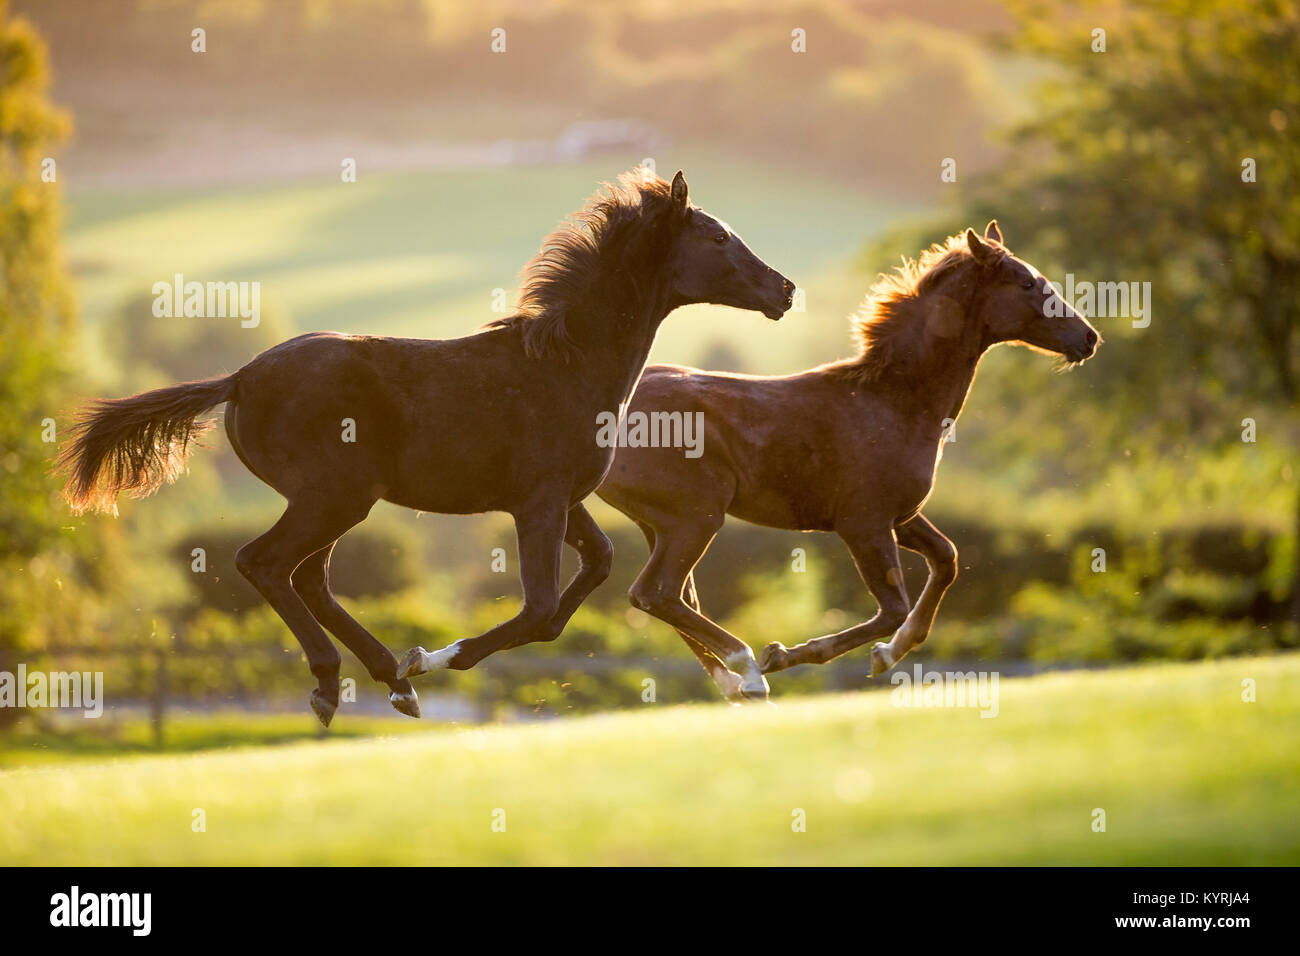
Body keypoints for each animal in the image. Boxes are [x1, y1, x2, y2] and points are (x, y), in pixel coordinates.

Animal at [58, 171, 790, 723]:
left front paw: (425, 661)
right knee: (263, 563)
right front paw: (439, 657)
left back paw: (392, 680)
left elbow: (594, 571)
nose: (784, 290)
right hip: (334, 496)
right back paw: (337, 683)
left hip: (333, 501)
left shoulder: (562, 500)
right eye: (717, 236)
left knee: (307, 577)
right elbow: (542, 608)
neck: (567, 364)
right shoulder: (539, 502)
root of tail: (239, 379)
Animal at [595, 223, 1097, 702]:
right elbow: (892, 607)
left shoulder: (900, 516)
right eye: (1027, 282)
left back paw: (735, 684)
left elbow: (947, 559)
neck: (896, 401)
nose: (1089, 337)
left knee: (675, 598)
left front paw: (889, 652)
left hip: (662, 523)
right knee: (656, 592)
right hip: (696, 517)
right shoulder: (863, 522)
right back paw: (751, 672)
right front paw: (798, 654)